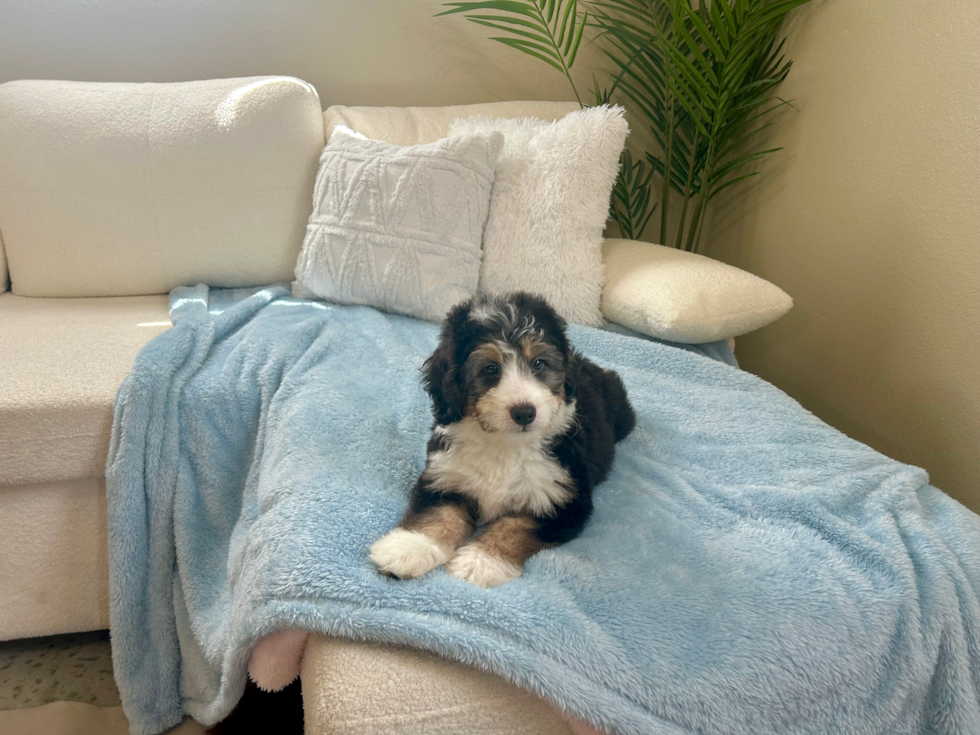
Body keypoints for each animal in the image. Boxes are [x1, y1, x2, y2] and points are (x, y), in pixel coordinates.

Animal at [368, 292, 636, 588]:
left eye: (538, 363)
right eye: (490, 369)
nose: (525, 412)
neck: (505, 444)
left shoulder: (564, 500)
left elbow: (515, 527)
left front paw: (480, 562)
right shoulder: (445, 476)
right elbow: (439, 514)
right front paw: (410, 548)